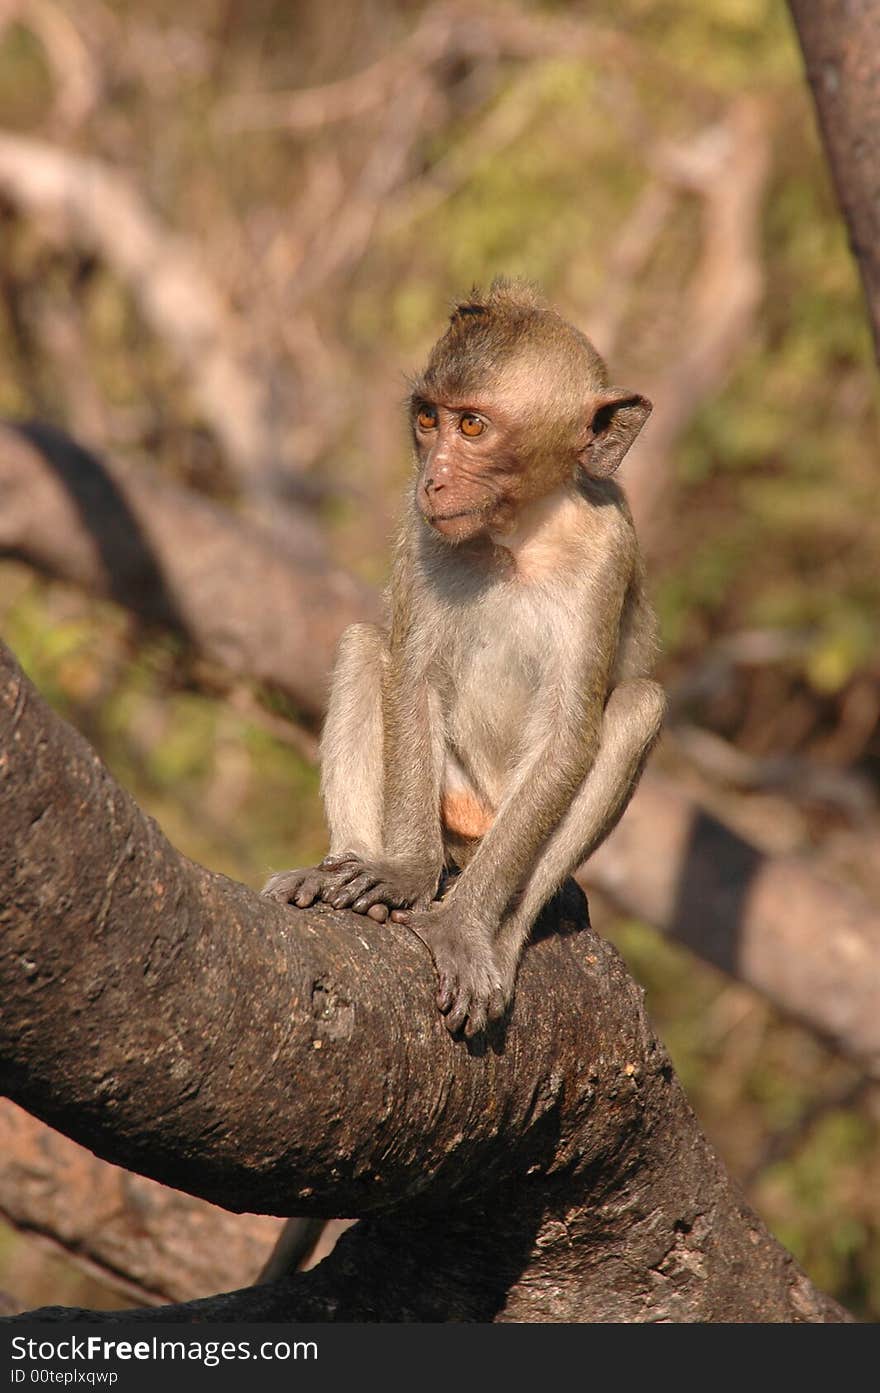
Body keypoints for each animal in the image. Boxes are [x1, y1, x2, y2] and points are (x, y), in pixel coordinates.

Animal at [264, 277, 662, 1036]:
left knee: (638, 706)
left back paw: (496, 936)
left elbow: (571, 736)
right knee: (366, 646)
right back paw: (347, 866)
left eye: (473, 427)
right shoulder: (421, 530)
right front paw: (402, 874)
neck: (516, 535)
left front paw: (460, 929)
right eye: (428, 419)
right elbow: (410, 678)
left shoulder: (609, 548)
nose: (434, 481)